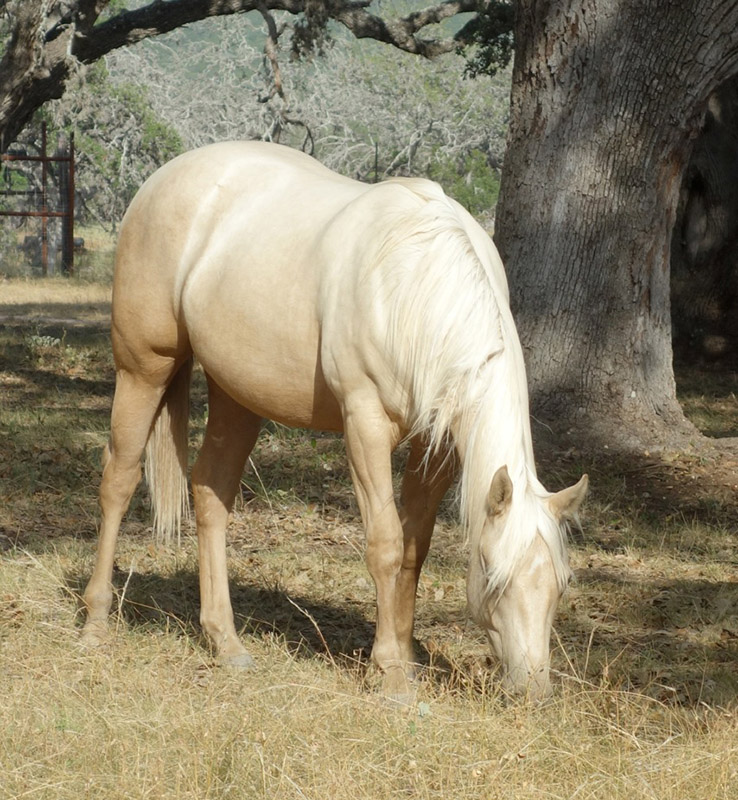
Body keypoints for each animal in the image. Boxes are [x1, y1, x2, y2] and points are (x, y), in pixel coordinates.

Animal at [82, 142, 588, 700]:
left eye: (562, 581)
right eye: (492, 573)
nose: (532, 689)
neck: (411, 282)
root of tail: (162, 179)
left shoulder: (437, 446)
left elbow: (414, 549)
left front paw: (404, 657)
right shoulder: (364, 427)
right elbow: (386, 544)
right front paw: (390, 674)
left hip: (236, 395)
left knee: (210, 490)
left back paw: (225, 642)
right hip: (143, 370)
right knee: (119, 479)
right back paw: (96, 623)